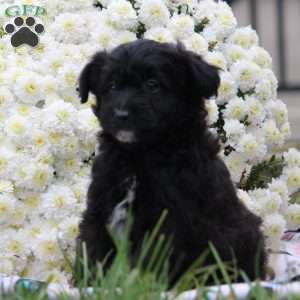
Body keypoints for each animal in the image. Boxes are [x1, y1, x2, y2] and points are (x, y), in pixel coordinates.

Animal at [78, 38, 268, 282]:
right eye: (111, 86)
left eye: (152, 85)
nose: (120, 114)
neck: (137, 156)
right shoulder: (100, 206)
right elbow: (93, 250)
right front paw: (90, 283)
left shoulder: (168, 221)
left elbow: (149, 263)